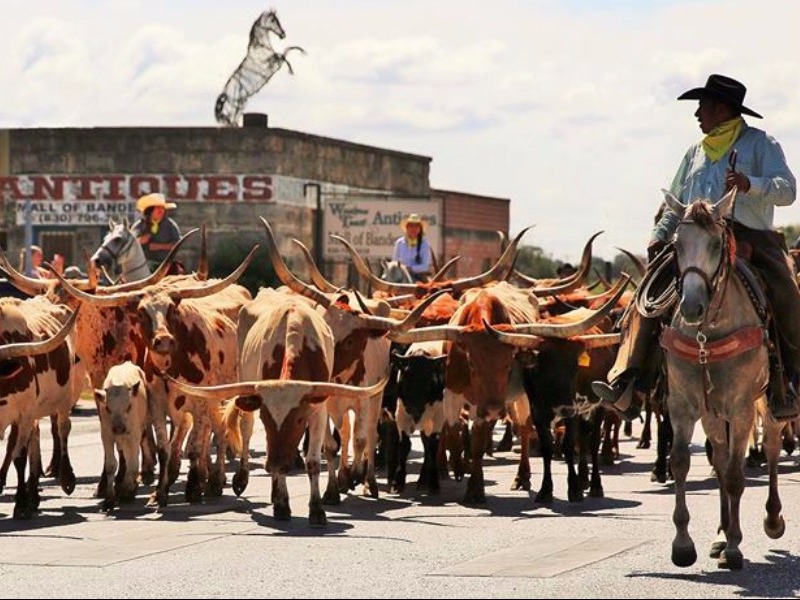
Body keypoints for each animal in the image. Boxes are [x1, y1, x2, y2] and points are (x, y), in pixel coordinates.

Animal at [660, 190, 784, 568]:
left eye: (716, 243)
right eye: (676, 244)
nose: (691, 306)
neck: (707, 335)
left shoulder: (742, 408)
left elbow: (734, 475)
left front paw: (734, 548)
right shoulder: (682, 405)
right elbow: (682, 462)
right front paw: (683, 545)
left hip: (770, 403)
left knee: (771, 447)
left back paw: (772, 519)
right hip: (713, 414)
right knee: (719, 456)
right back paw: (720, 532)